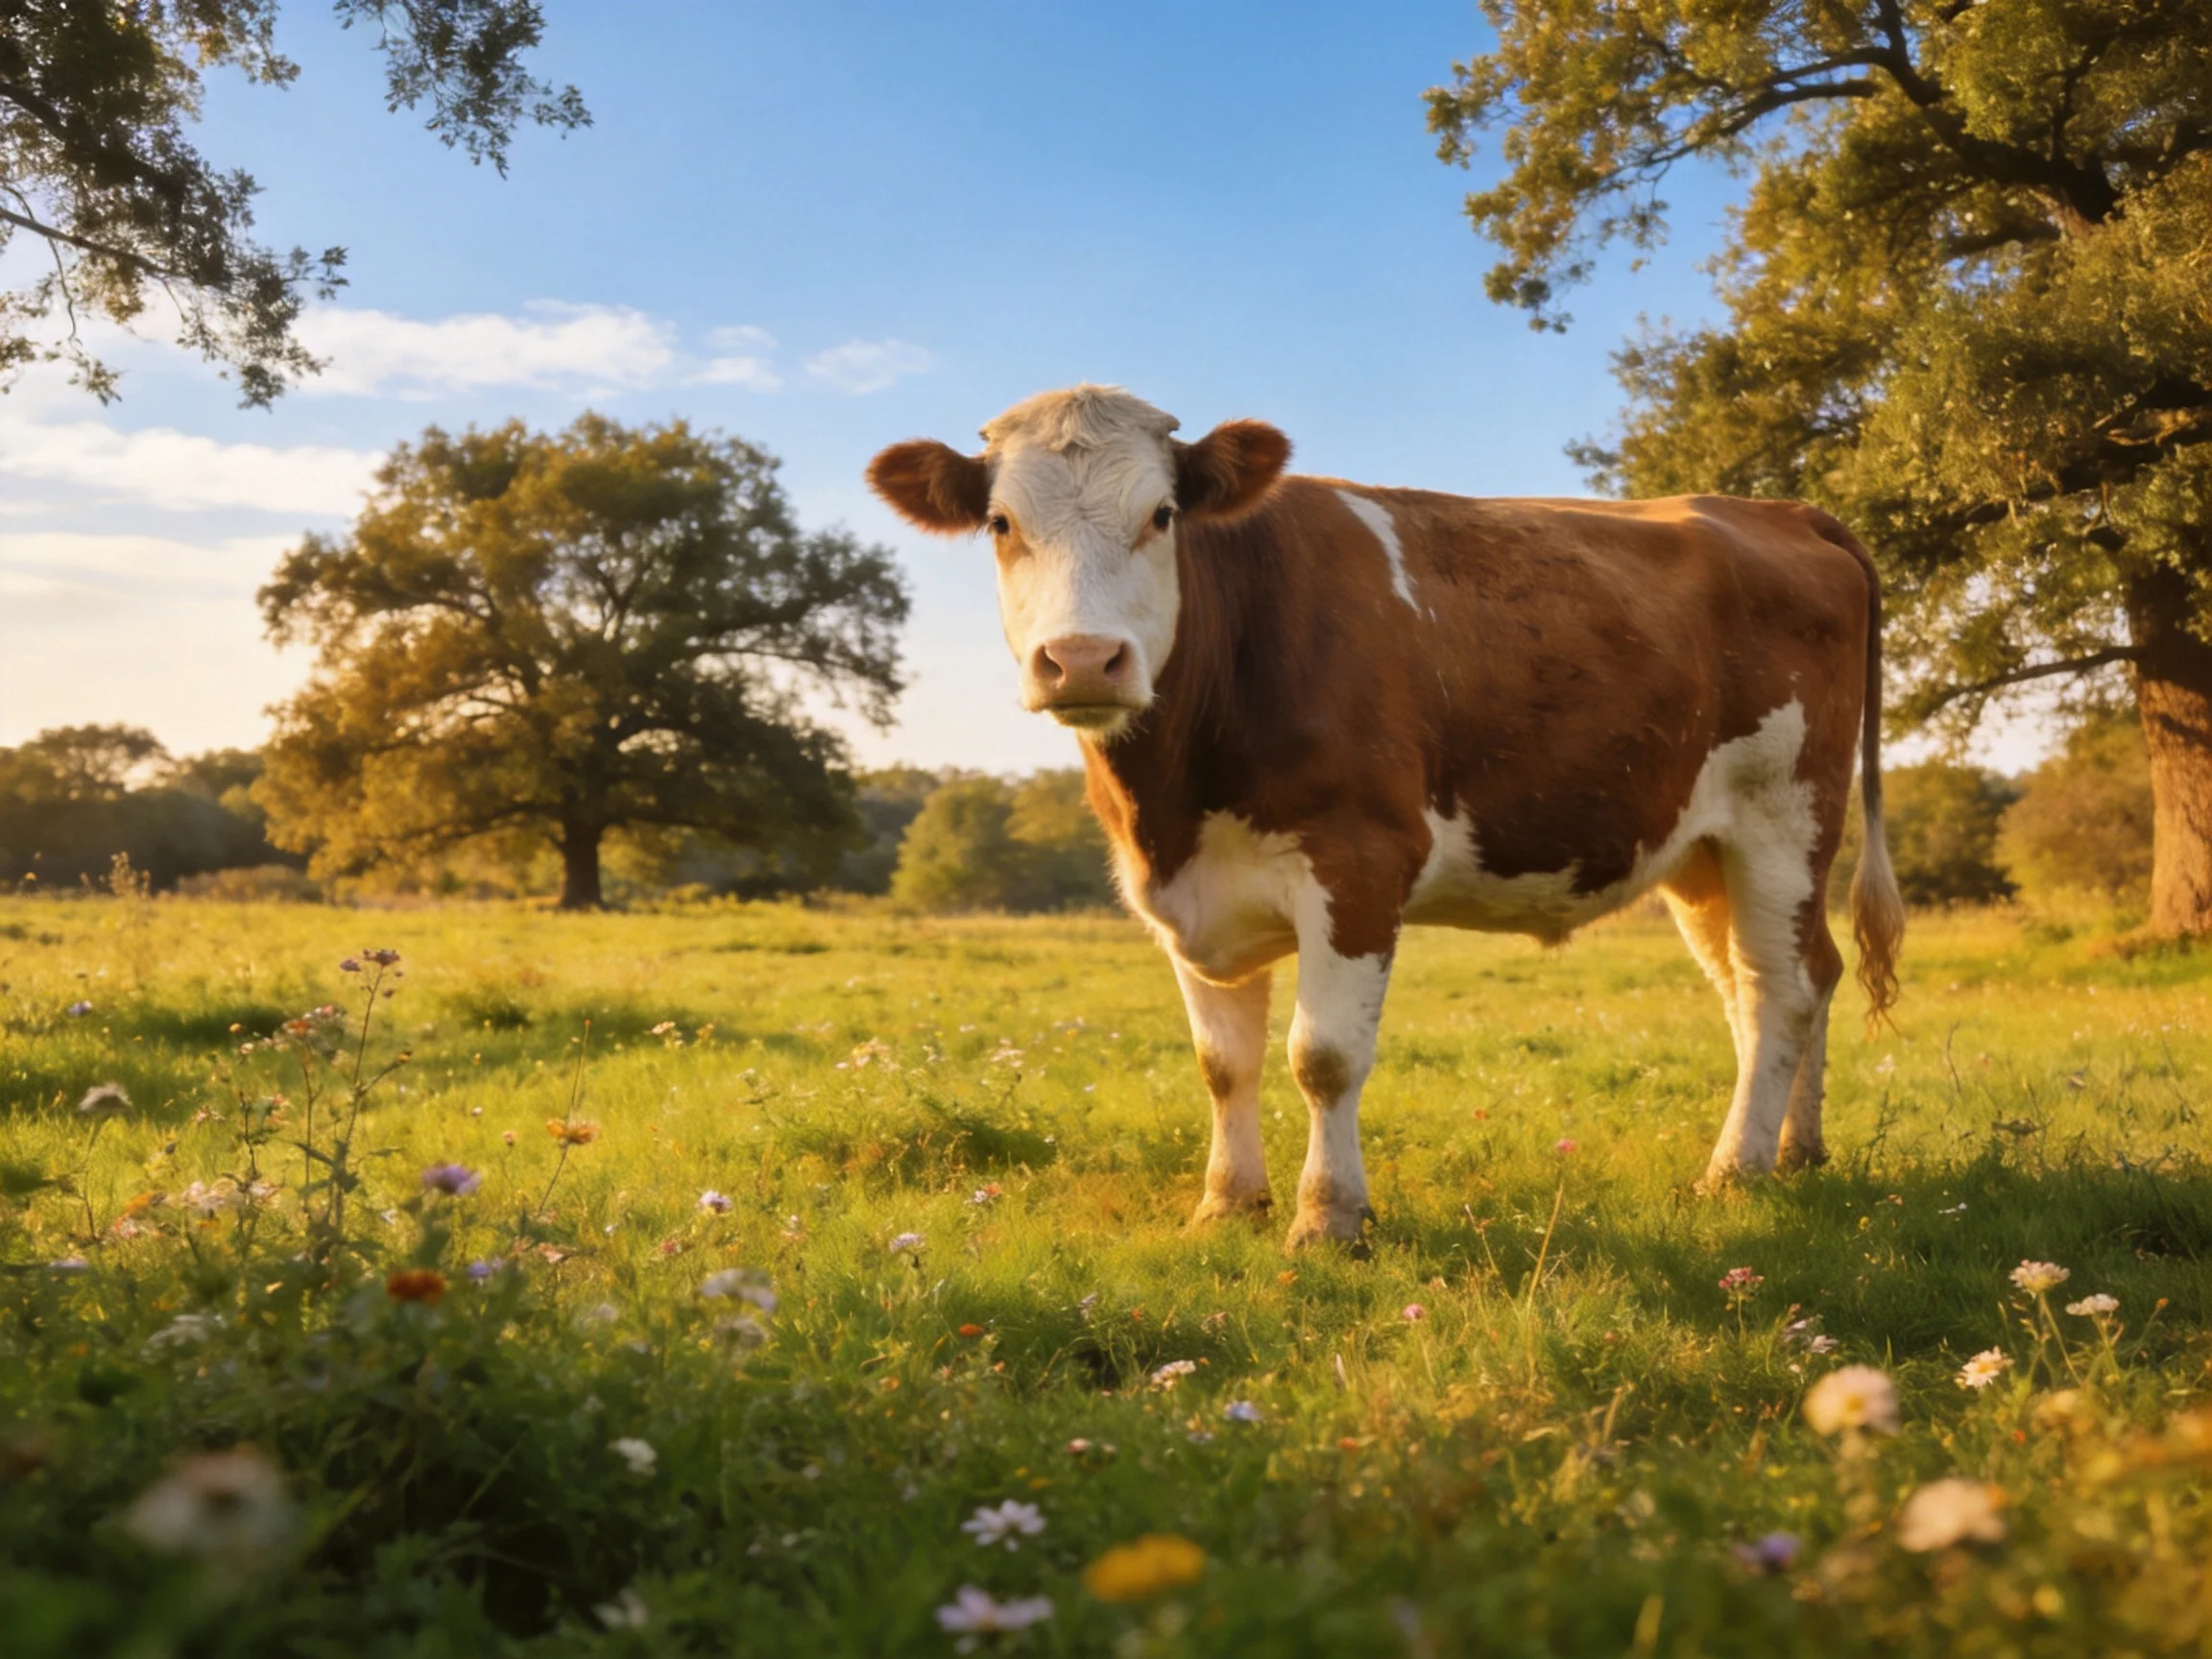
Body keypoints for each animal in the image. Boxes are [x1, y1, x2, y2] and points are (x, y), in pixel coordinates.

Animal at [868, 385, 1905, 1249]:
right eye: (1001, 522)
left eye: (1161, 515)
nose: (1083, 659)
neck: (1173, 798)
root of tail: (1776, 509)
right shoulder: (1185, 895)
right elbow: (1222, 1063)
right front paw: (1226, 1204)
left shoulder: (1358, 862)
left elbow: (1321, 1058)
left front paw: (1328, 1220)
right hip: (1700, 847)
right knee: (1777, 979)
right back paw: (1794, 1151)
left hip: (1785, 814)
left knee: (1779, 988)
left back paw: (1737, 1169)